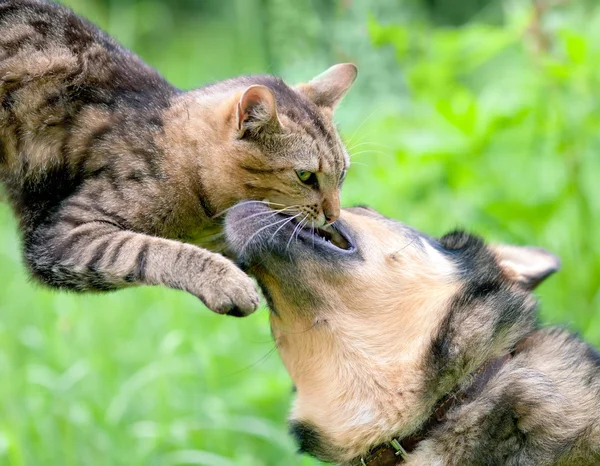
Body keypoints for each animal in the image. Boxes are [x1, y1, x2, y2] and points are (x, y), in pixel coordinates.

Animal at [0, 0, 356, 316]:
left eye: (341, 176)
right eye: (305, 176)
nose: (333, 215)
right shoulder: (60, 235)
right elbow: (144, 249)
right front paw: (226, 282)